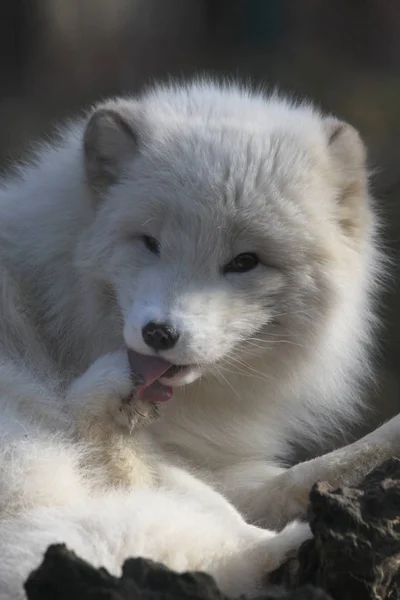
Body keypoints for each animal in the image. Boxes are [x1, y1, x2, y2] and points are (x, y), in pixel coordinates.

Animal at [0, 78, 382, 596]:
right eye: (150, 242)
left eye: (245, 261)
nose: (158, 333)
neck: (52, 310)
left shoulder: (206, 460)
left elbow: (299, 477)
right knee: (231, 552)